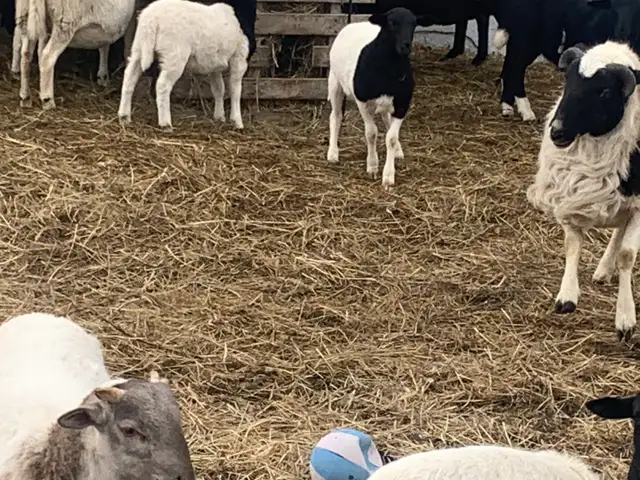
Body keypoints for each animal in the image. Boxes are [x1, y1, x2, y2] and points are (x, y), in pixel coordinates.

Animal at [117, 0, 257, 130]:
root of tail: (152, 18)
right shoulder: (240, 56)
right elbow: (235, 90)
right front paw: (237, 121)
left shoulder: (214, 64)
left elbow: (218, 89)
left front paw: (219, 116)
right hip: (174, 54)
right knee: (163, 85)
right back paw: (165, 123)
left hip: (140, 46)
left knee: (129, 76)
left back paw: (124, 116)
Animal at [327, 7, 421, 189]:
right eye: (392, 23)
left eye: (414, 23)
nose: (406, 46)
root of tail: (356, 23)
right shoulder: (362, 101)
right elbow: (371, 133)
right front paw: (372, 166)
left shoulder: (402, 104)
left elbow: (391, 137)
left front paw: (389, 176)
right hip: (334, 81)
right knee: (335, 116)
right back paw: (333, 153)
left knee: (386, 119)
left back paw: (398, 151)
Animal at [526, 41, 640, 341]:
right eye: (568, 81)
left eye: (604, 91)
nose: (557, 131)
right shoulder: (572, 201)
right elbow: (572, 247)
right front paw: (566, 297)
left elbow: (627, 255)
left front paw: (625, 318)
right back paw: (603, 270)